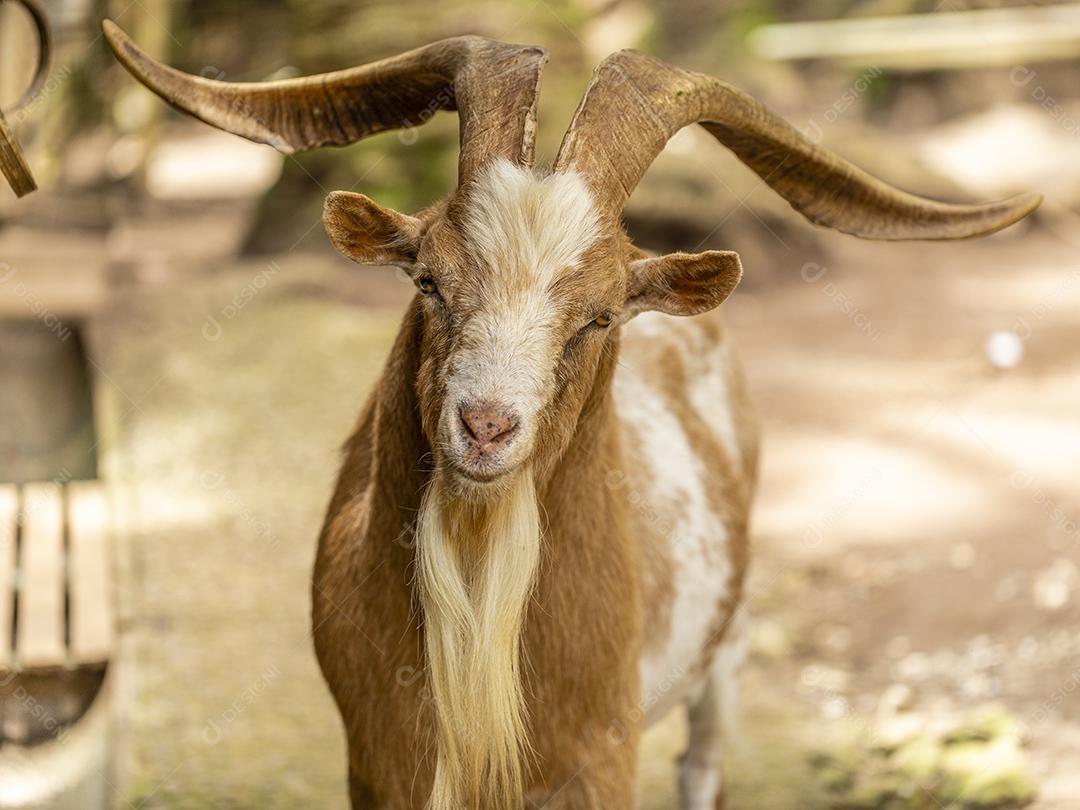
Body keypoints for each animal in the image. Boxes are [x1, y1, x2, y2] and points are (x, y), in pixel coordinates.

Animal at [105, 22, 1040, 810]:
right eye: (428, 280)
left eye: (598, 315)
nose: (485, 427)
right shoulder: (376, 764)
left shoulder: (601, 758)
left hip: (728, 644)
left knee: (702, 761)